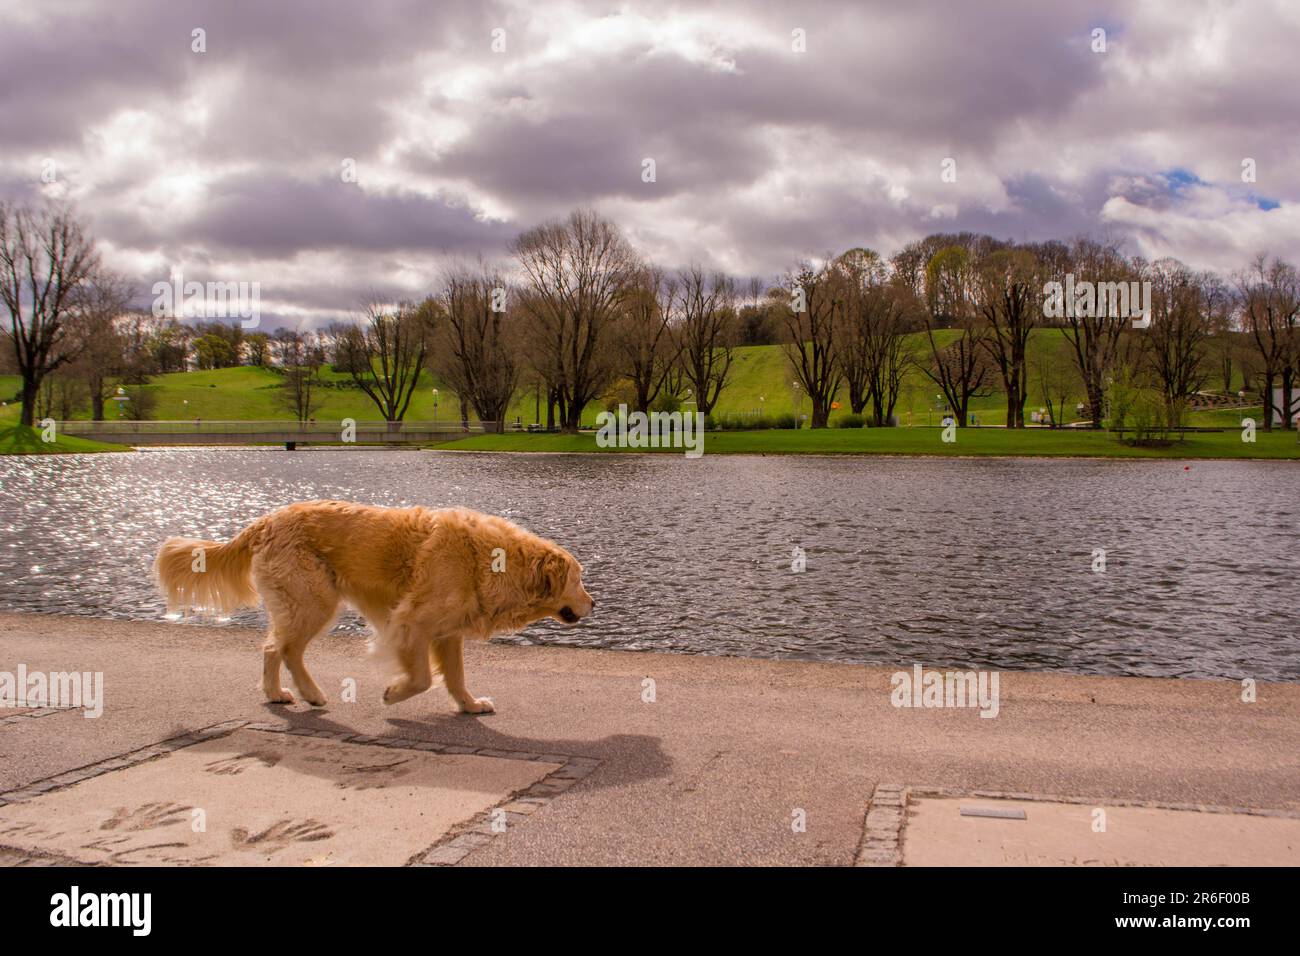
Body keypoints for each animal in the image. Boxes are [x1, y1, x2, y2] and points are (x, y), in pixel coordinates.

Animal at [152, 502, 595, 712]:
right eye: (578, 579)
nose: (593, 603)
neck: (490, 559)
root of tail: (265, 522)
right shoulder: (411, 621)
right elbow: (422, 678)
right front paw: (393, 693)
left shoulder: (448, 632)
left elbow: (454, 677)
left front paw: (469, 705)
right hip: (313, 601)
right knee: (283, 648)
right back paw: (303, 692)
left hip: (305, 604)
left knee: (275, 647)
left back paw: (285, 694)